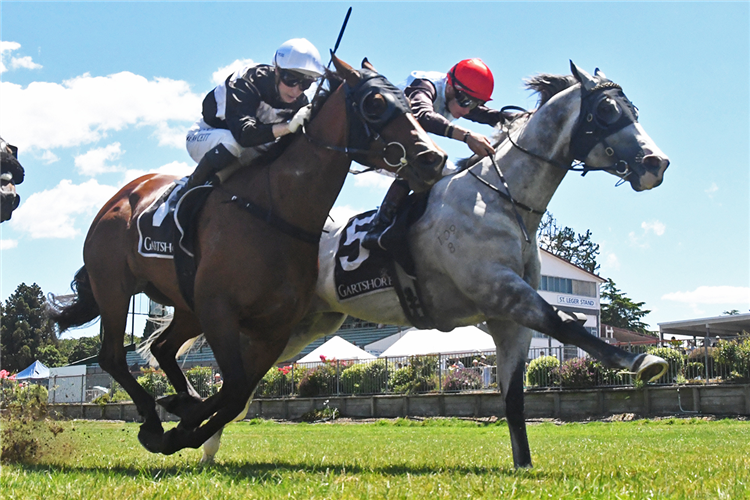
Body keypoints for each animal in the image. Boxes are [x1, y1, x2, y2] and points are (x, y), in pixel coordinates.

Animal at [48, 55, 446, 458]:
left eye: (408, 102)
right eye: (374, 103)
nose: (434, 158)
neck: (276, 211)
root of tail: (118, 199)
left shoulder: (273, 328)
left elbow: (236, 395)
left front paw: (184, 422)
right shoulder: (219, 310)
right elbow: (234, 388)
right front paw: (174, 426)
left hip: (187, 306)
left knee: (161, 347)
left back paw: (181, 400)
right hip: (114, 287)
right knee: (112, 356)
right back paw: (152, 418)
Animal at [194, 62, 676, 464]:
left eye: (633, 110)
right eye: (608, 111)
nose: (657, 163)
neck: (502, 199)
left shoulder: (508, 319)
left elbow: (514, 398)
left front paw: (523, 466)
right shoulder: (502, 291)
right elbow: (566, 324)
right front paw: (643, 362)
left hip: (304, 326)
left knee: (242, 383)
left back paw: (207, 446)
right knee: (231, 378)